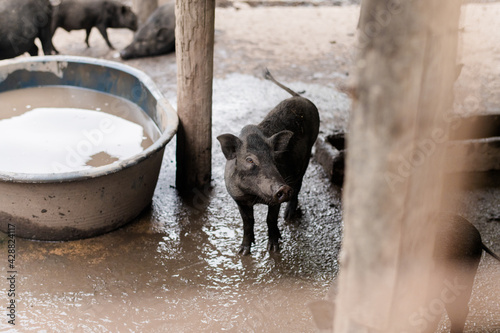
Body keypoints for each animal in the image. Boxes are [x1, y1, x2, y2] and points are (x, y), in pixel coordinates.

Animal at [218, 68, 320, 253]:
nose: (283, 188)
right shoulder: (238, 199)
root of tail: (300, 97)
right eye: (249, 160)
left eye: (274, 158)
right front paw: (243, 251)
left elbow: (270, 219)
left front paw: (273, 249)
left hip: (306, 158)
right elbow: (247, 223)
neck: (254, 196)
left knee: (298, 186)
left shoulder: (275, 200)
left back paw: (288, 217)